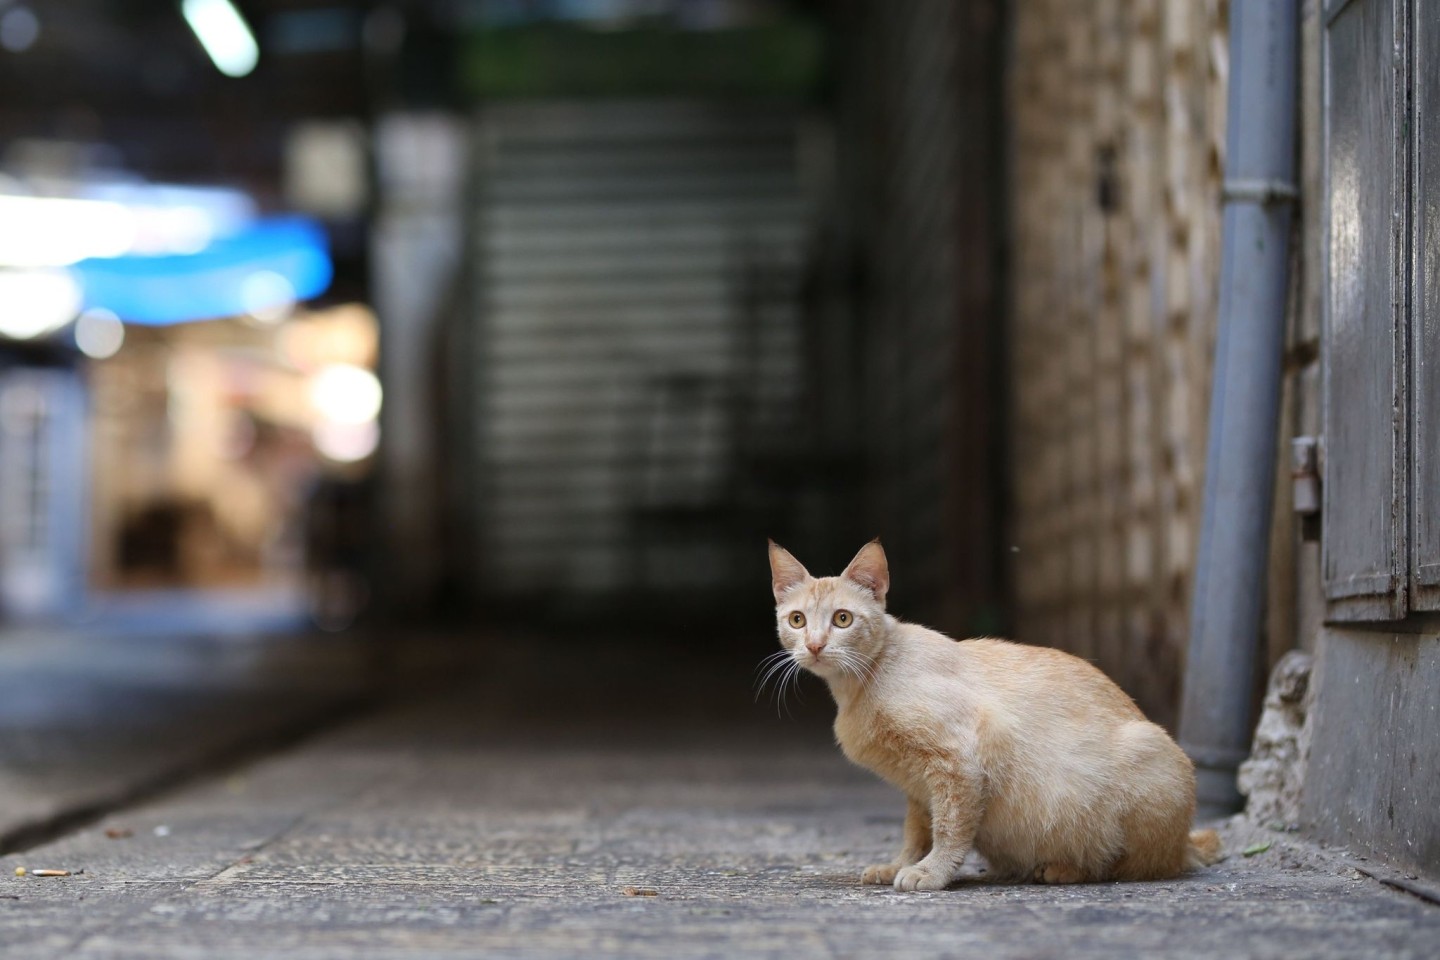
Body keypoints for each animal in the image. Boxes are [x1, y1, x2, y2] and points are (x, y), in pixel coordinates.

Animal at [771, 541, 1221, 892]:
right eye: (797, 620)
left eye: (842, 618)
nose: (814, 645)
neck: (861, 684)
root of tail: (1185, 841)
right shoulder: (918, 787)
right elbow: (917, 831)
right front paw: (901, 864)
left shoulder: (959, 762)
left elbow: (949, 828)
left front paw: (931, 873)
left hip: (1149, 753)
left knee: (1135, 865)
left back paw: (1064, 868)